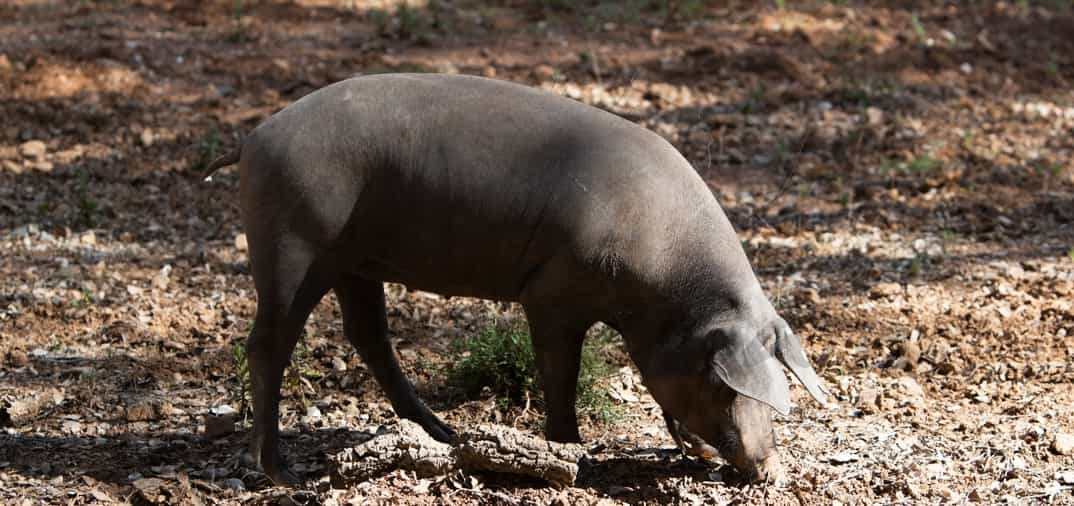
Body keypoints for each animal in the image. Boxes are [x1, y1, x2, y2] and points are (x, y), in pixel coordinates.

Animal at [197, 73, 824, 489]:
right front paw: (573, 453)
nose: (771, 469)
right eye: (723, 382)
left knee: (368, 336)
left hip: (355, 262)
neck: (662, 286)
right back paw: (278, 473)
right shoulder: (551, 294)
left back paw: (445, 435)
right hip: (294, 246)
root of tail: (254, 139)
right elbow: (559, 372)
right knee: (268, 344)